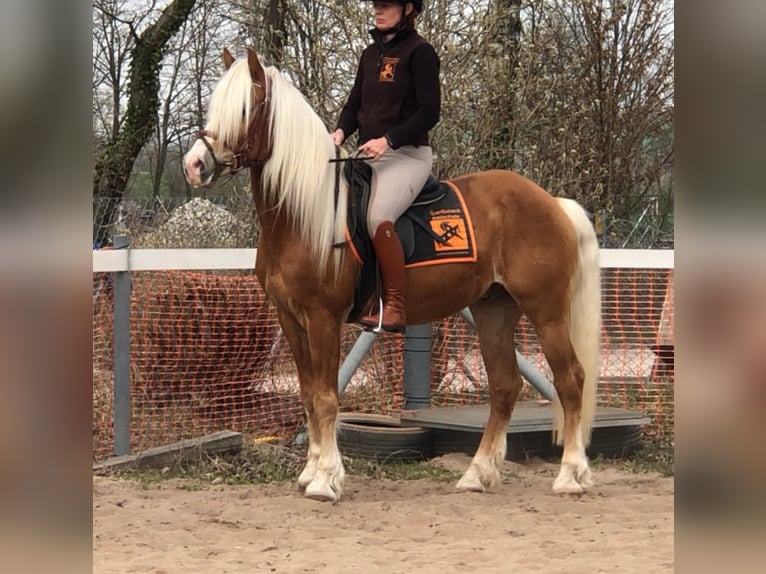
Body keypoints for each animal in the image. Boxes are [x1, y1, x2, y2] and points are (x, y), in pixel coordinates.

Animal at [183, 47, 604, 502]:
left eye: (245, 109)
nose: (194, 165)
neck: (304, 214)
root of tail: (552, 202)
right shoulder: (290, 318)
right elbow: (309, 396)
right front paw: (311, 471)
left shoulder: (323, 318)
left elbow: (327, 397)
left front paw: (327, 479)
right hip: (494, 310)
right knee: (505, 386)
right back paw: (478, 474)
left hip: (546, 311)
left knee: (571, 379)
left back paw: (570, 475)